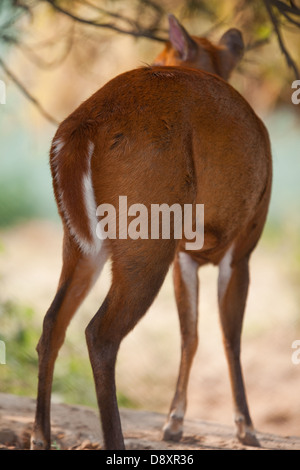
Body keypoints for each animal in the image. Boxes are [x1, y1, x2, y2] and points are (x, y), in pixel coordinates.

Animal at [31, 13, 272, 448]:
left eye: (163, 53)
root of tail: (79, 131)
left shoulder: (185, 255)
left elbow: (190, 333)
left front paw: (174, 422)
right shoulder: (242, 245)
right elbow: (230, 337)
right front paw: (246, 427)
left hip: (81, 241)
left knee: (52, 322)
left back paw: (40, 435)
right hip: (148, 234)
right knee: (100, 333)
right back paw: (115, 440)